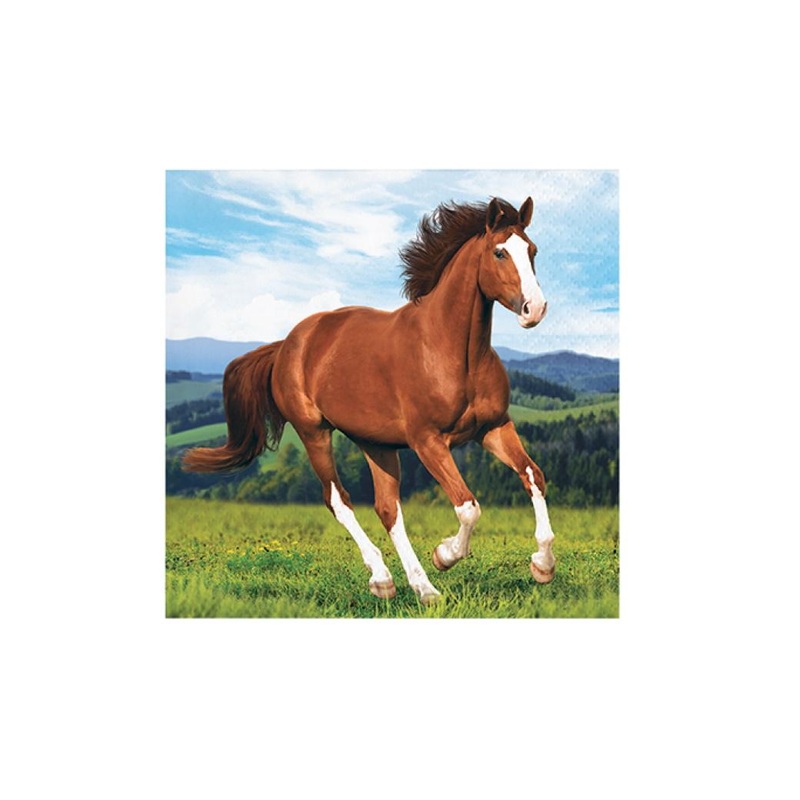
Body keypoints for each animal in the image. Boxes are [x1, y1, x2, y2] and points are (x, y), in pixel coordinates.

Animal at [182, 196, 556, 604]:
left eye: (533, 251)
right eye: (499, 252)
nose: (534, 309)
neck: (449, 349)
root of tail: (287, 345)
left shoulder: (493, 427)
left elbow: (533, 476)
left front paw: (542, 565)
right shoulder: (427, 441)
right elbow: (468, 507)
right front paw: (444, 555)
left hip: (376, 444)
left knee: (387, 509)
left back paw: (421, 588)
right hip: (313, 432)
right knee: (339, 500)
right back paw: (385, 580)